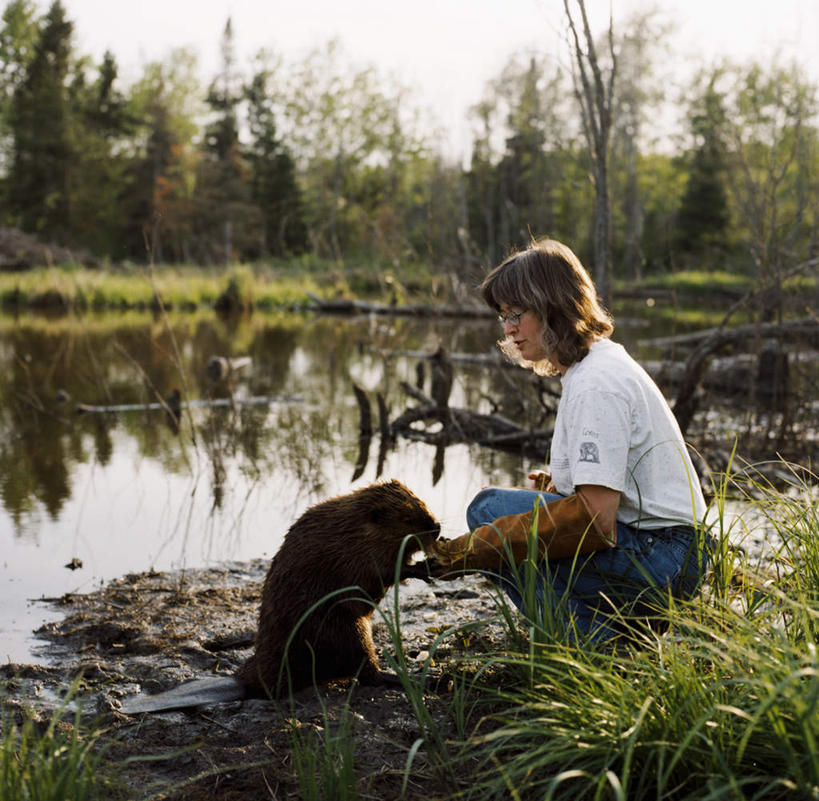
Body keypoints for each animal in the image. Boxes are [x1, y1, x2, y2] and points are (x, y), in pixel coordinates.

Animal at [120, 478, 436, 708]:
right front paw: (422, 568)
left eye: (422, 504)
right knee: (366, 673)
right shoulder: (353, 555)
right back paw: (410, 677)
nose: (436, 526)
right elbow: (377, 576)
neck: (354, 528)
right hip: (347, 632)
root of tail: (243, 681)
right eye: (409, 519)